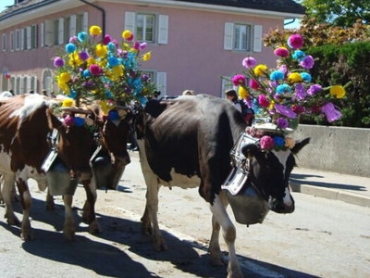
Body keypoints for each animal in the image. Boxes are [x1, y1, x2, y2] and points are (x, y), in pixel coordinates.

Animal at [134, 94, 310, 278]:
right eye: (267, 165)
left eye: (292, 165)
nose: (286, 205)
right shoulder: (208, 189)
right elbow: (230, 230)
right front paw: (234, 271)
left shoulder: (222, 188)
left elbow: (216, 223)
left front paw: (216, 254)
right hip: (147, 165)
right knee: (153, 202)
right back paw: (157, 239)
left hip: (160, 170)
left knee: (149, 196)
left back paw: (145, 226)